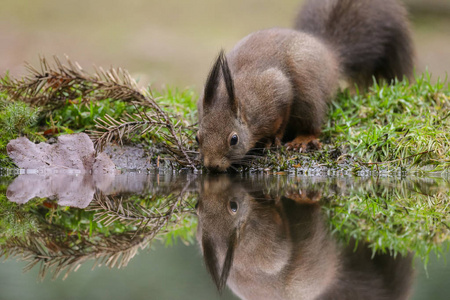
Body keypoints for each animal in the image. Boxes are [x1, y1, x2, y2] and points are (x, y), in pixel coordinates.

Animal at [197, 0, 414, 171]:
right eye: (198, 137)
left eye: (233, 139)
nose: (212, 166)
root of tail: (329, 56)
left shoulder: (278, 92)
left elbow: (282, 118)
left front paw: (272, 139)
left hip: (308, 91)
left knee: (313, 123)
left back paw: (303, 139)